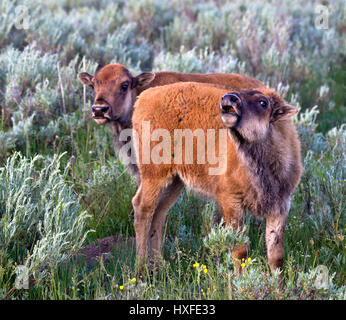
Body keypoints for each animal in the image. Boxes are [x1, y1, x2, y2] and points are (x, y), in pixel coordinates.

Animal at [131, 82, 302, 276]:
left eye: (263, 102)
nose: (229, 99)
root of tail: (144, 97)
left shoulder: (280, 205)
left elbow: (276, 255)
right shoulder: (231, 200)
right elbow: (240, 249)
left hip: (175, 181)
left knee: (159, 213)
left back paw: (159, 266)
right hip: (154, 175)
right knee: (143, 208)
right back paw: (141, 268)